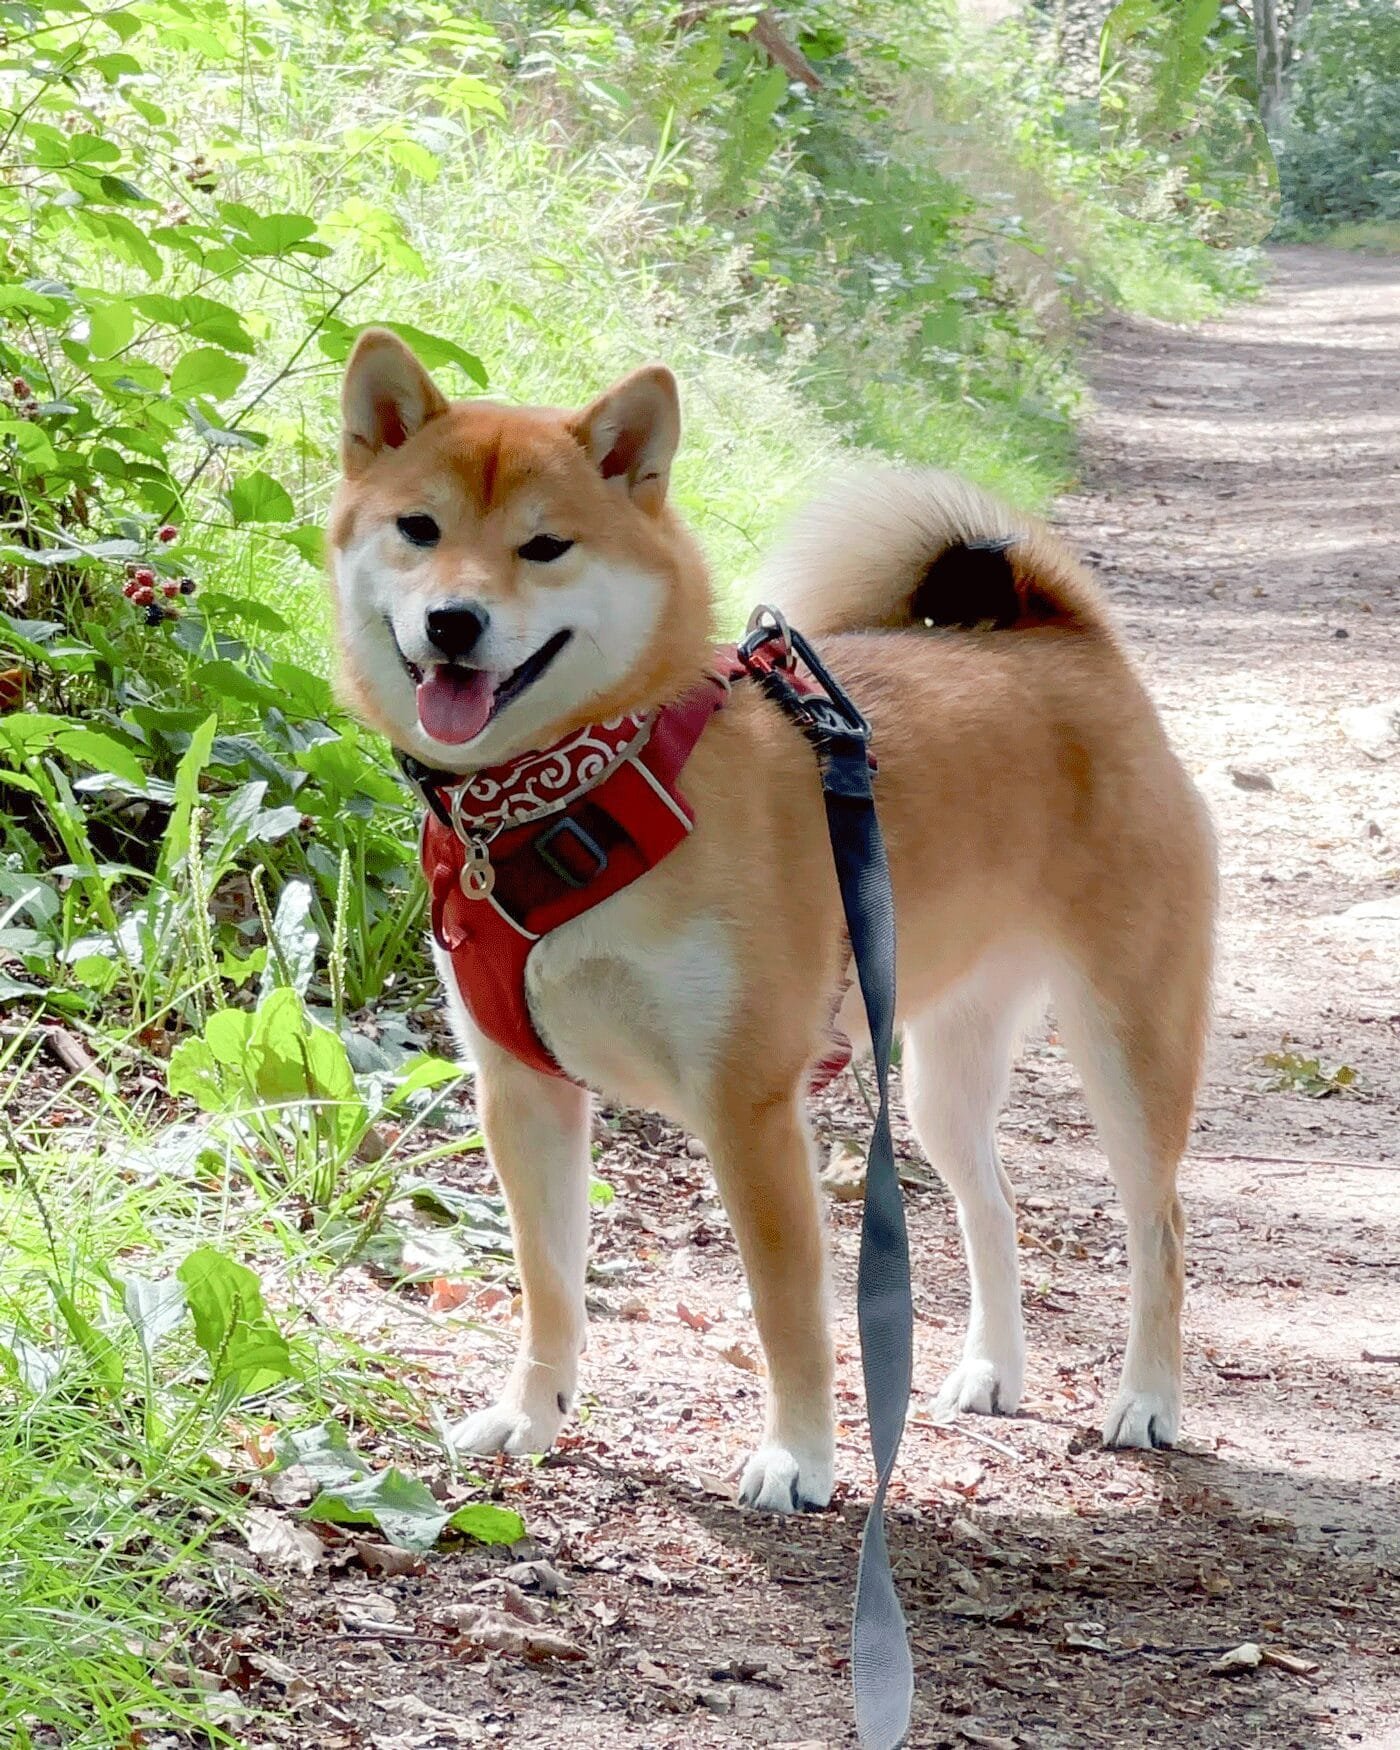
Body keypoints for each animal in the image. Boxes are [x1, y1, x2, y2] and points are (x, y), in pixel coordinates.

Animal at [325, 330, 1211, 1519]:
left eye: (544, 546)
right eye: (418, 529)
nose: (452, 622)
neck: (582, 790)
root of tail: (1071, 646)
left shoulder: (745, 1109)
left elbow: (788, 1315)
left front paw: (799, 1458)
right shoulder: (523, 1091)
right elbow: (548, 1286)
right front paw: (530, 1418)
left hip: (1128, 1048)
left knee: (1158, 1229)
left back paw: (1146, 1400)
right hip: (939, 1079)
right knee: (993, 1210)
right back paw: (992, 1369)